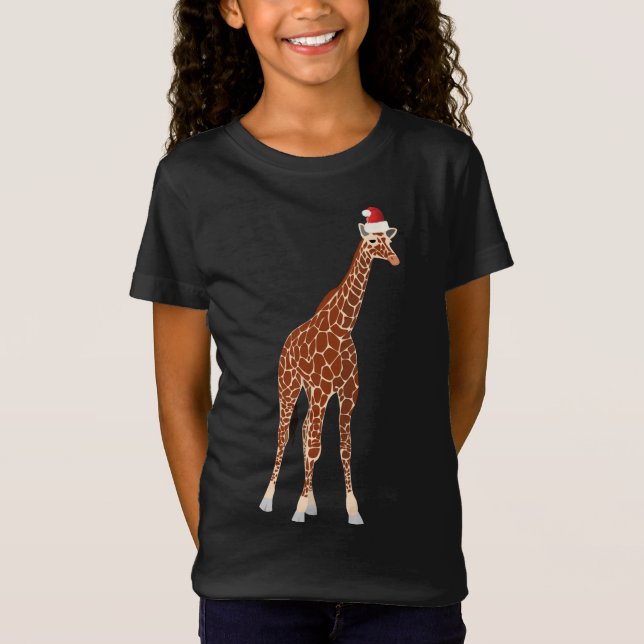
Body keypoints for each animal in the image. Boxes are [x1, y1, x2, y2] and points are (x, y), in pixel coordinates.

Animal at [259, 207, 400, 525]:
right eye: (372, 241)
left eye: (388, 238)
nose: (395, 259)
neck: (342, 328)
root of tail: (287, 341)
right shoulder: (324, 391)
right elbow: (315, 447)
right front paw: (298, 508)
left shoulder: (347, 395)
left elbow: (344, 448)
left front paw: (352, 509)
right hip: (289, 386)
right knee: (283, 435)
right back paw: (268, 499)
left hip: (311, 391)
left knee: (304, 429)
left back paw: (311, 502)